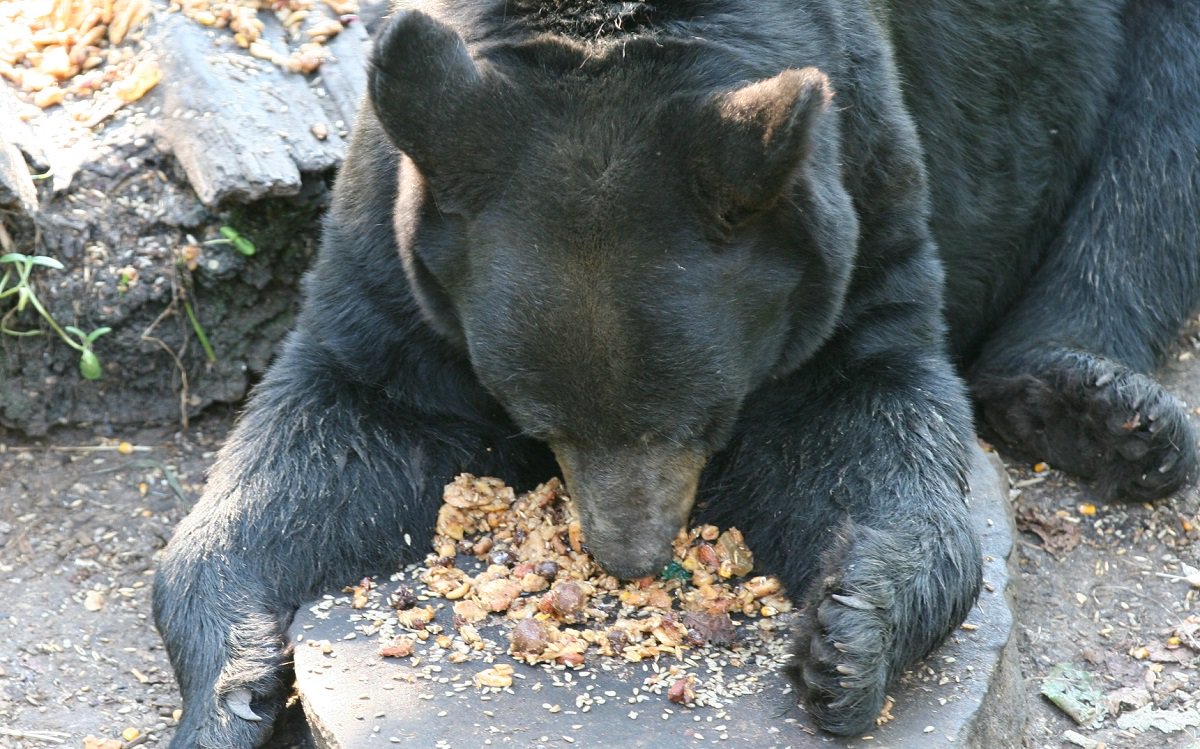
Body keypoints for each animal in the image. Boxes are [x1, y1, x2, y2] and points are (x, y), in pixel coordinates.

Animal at [152, 1, 1200, 746]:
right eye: (541, 421)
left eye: (699, 415)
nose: (629, 553)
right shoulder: (398, 232)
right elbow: (343, 417)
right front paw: (228, 690)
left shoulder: (861, 187)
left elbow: (866, 408)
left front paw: (849, 632)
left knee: (1156, 146)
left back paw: (1097, 405)